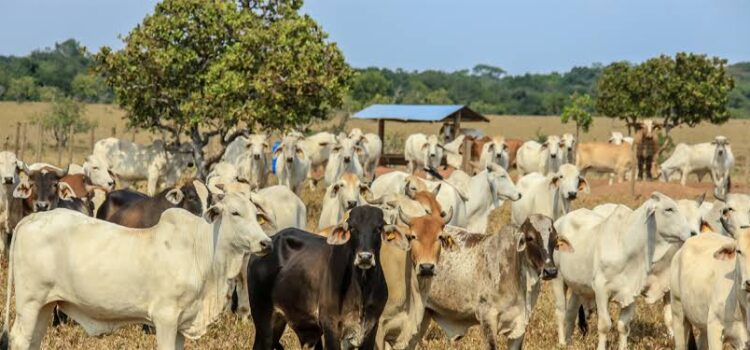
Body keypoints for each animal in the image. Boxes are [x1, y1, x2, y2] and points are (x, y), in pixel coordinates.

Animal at [2, 190, 274, 350]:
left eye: (255, 214)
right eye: (235, 213)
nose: (266, 243)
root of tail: (31, 219)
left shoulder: (182, 322)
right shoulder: (165, 318)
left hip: (45, 305)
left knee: (33, 340)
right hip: (29, 302)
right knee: (20, 339)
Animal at [250, 206, 408, 348]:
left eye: (378, 228)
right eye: (352, 228)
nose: (365, 257)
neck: (361, 288)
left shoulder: (371, 327)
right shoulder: (330, 325)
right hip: (264, 323)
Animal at [548, 193, 696, 348]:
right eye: (669, 209)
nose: (692, 233)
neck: (626, 244)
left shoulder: (631, 291)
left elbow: (623, 326)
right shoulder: (601, 290)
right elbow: (605, 325)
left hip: (578, 286)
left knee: (571, 312)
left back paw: (569, 341)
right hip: (557, 277)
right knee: (560, 311)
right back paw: (562, 342)